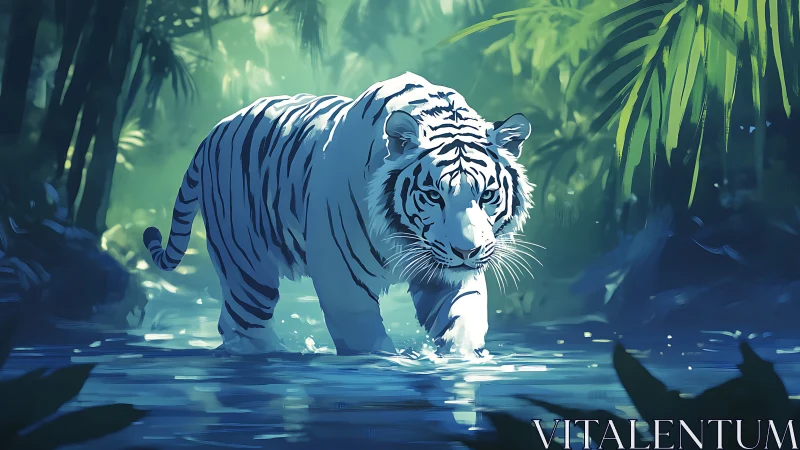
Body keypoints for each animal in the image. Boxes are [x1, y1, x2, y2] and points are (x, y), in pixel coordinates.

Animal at [143, 72, 534, 356]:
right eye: (433, 195)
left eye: (487, 195)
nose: (466, 252)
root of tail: (214, 130)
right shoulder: (343, 279)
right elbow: (366, 342)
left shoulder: (446, 273)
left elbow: (463, 320)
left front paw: (459, 361)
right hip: (247, 267)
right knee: (245, 326)